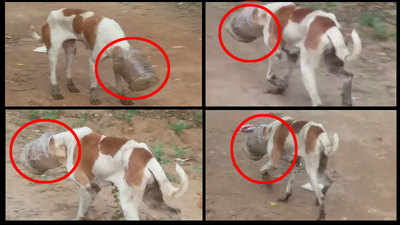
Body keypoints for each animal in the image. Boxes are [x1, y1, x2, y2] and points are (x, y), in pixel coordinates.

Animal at [21, 126, 189, 220]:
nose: (25, 158)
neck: (68, 140)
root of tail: (146, 157)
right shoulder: (94, 188)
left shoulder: (85, 187)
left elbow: (81, 211)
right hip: (153, 200)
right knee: (175, 213)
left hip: (128, 204)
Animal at [31, 7, 159, 104]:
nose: (147, 80)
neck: (114, 39)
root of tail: (50, 15)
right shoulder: (93, 62)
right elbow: (94, 83)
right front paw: (94, 98)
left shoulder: (117, 65)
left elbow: (119, 83)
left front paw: (123, 98)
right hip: (53, 51)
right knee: (52, 73)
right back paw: (55, 91)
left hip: (71, 50)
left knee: (68, 68)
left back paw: (71, 86)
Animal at [225, 2, 362, 106]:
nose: (227, 27)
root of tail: (330, 28)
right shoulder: (292, 55)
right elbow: (286, 76)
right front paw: (281, 87)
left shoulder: (276, 52)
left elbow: (270, 75)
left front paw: (277, 83)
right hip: (332, 65)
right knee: (348, 77)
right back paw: (346, 101)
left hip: (306, 69)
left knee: (317, 101)